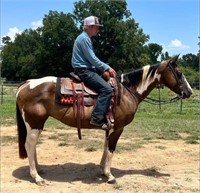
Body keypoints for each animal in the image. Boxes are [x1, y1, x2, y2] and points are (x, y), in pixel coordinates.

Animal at [15, 55, 192, 185]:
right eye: (179, 72)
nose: (189, 92)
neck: (127, 91)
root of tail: (26, 83)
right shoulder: (118, 127)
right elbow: (111, 149)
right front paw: (109, 175)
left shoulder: (109, 126)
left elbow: (106, 147)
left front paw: (102, 169)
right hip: (34, 123)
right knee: (29, 145)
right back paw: (37, 177)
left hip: (37, 124)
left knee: (32, 146)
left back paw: (38, 170)